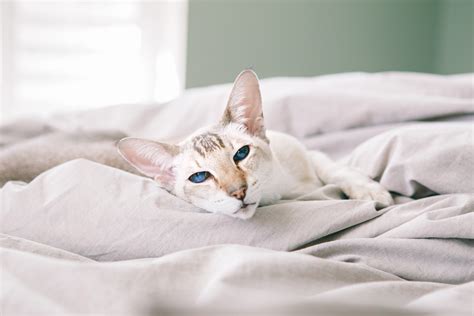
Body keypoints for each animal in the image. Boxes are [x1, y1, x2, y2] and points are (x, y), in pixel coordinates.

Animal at [116, 69, 390, 218]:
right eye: (199, 177)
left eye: (242, 154)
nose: (238, 192)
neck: (282, 190)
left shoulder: (308, 152)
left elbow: (337, 170)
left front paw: (372, 192)